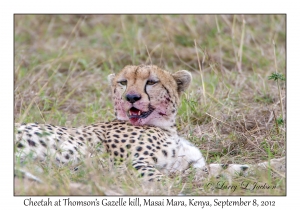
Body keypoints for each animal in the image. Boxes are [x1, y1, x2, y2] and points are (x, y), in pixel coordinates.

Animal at [14, 64, 286, 184]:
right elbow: (166, 180)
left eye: (152, 82)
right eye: (123, 82)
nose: (132, 98)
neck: (166, 127)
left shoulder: (189, 166)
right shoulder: (130, 165)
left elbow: (234, 167)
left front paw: (277, 165)